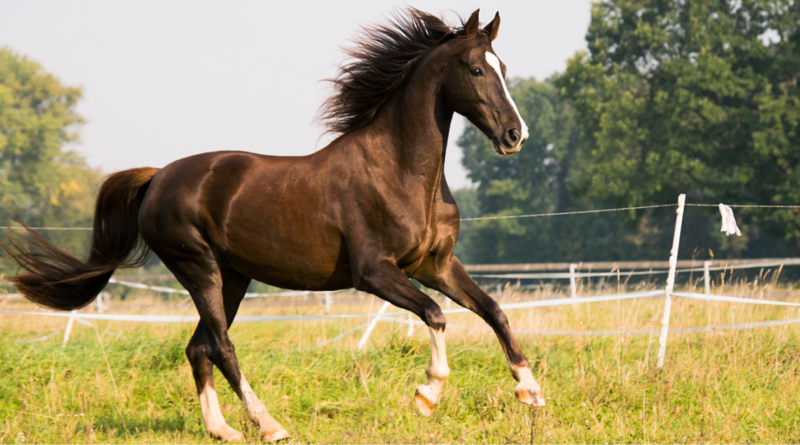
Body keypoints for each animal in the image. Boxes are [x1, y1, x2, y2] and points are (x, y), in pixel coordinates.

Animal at [4, 8, 544, 442]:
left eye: (503, 68)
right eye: (476, 69)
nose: (515, 135)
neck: (400, 173)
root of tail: (158, 178)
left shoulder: (436, 264)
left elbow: (493, 310)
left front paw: (531, 391)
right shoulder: (375, 273)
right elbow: (435, 314)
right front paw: (427, 395)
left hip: (233, 277)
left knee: (198, 347)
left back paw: (222, 430)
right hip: (198, 267)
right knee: (220, 346)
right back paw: (269, 425)